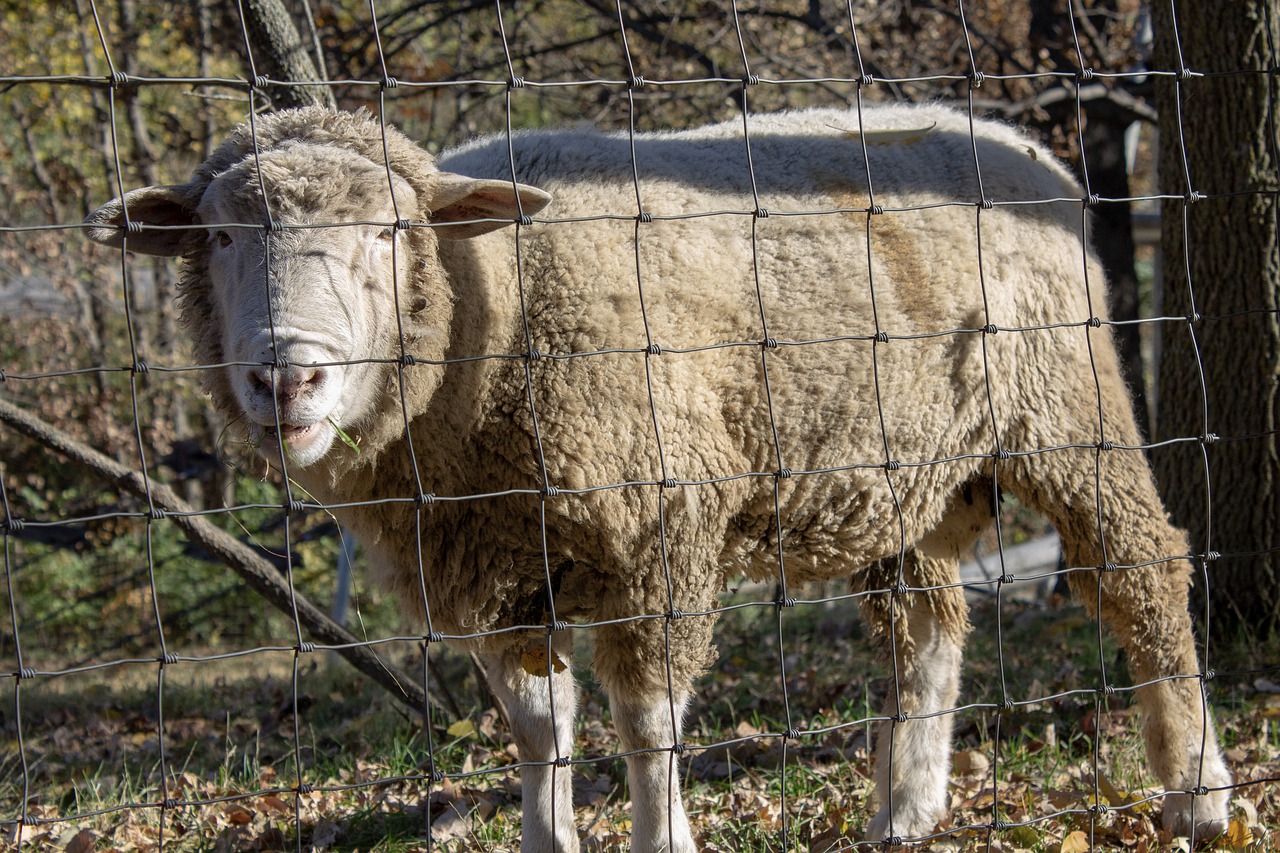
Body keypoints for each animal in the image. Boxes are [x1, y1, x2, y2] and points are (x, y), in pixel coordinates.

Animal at [85, 106, 1233, 850]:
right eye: (219, 235)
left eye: (388, 229)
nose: (286, 375)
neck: (492, 308)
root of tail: (1014, 139)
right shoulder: (479, 565)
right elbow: (538, 728)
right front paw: (547, 840)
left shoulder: (659, 531)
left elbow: (643, 721)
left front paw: (660, 835)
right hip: (898, 463)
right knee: (924, 622)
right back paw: (905, 810)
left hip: (1068, 404)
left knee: (1143, 577)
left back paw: (1195, 792)